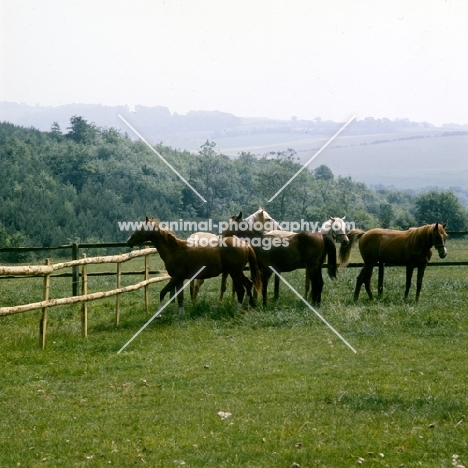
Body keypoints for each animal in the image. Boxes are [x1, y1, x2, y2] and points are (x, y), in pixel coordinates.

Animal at [126, 218, 262, 314]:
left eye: (141, 228)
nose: (129, 241)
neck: (174, 250)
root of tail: (245, 244)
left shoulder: (176, 277)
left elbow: (163, 292)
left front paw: (158, 315)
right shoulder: (179, 279)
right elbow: (180, 298)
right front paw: (181, 315)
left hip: (235, 273)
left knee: (241, 290)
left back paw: (238, 311)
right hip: (238, 272)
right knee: (249, 284)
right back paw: (249, 306)